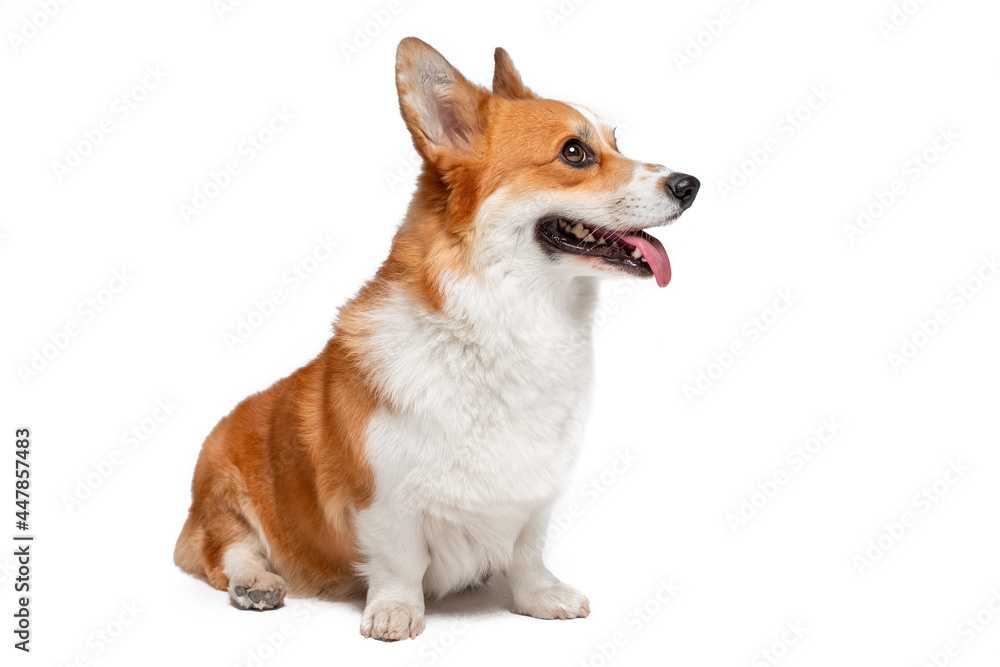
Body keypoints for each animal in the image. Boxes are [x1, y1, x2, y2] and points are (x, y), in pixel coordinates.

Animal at [172, 37, 700, 640]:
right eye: (574, 153)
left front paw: (540, 597)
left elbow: (528, 550)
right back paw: (255, 583)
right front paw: (396, 612)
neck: (509, 321)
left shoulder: (537, 492)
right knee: (228, 551)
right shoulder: (381, 497)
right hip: (222, 484)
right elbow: (399, 560)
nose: (690, 185)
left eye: (616, 142)